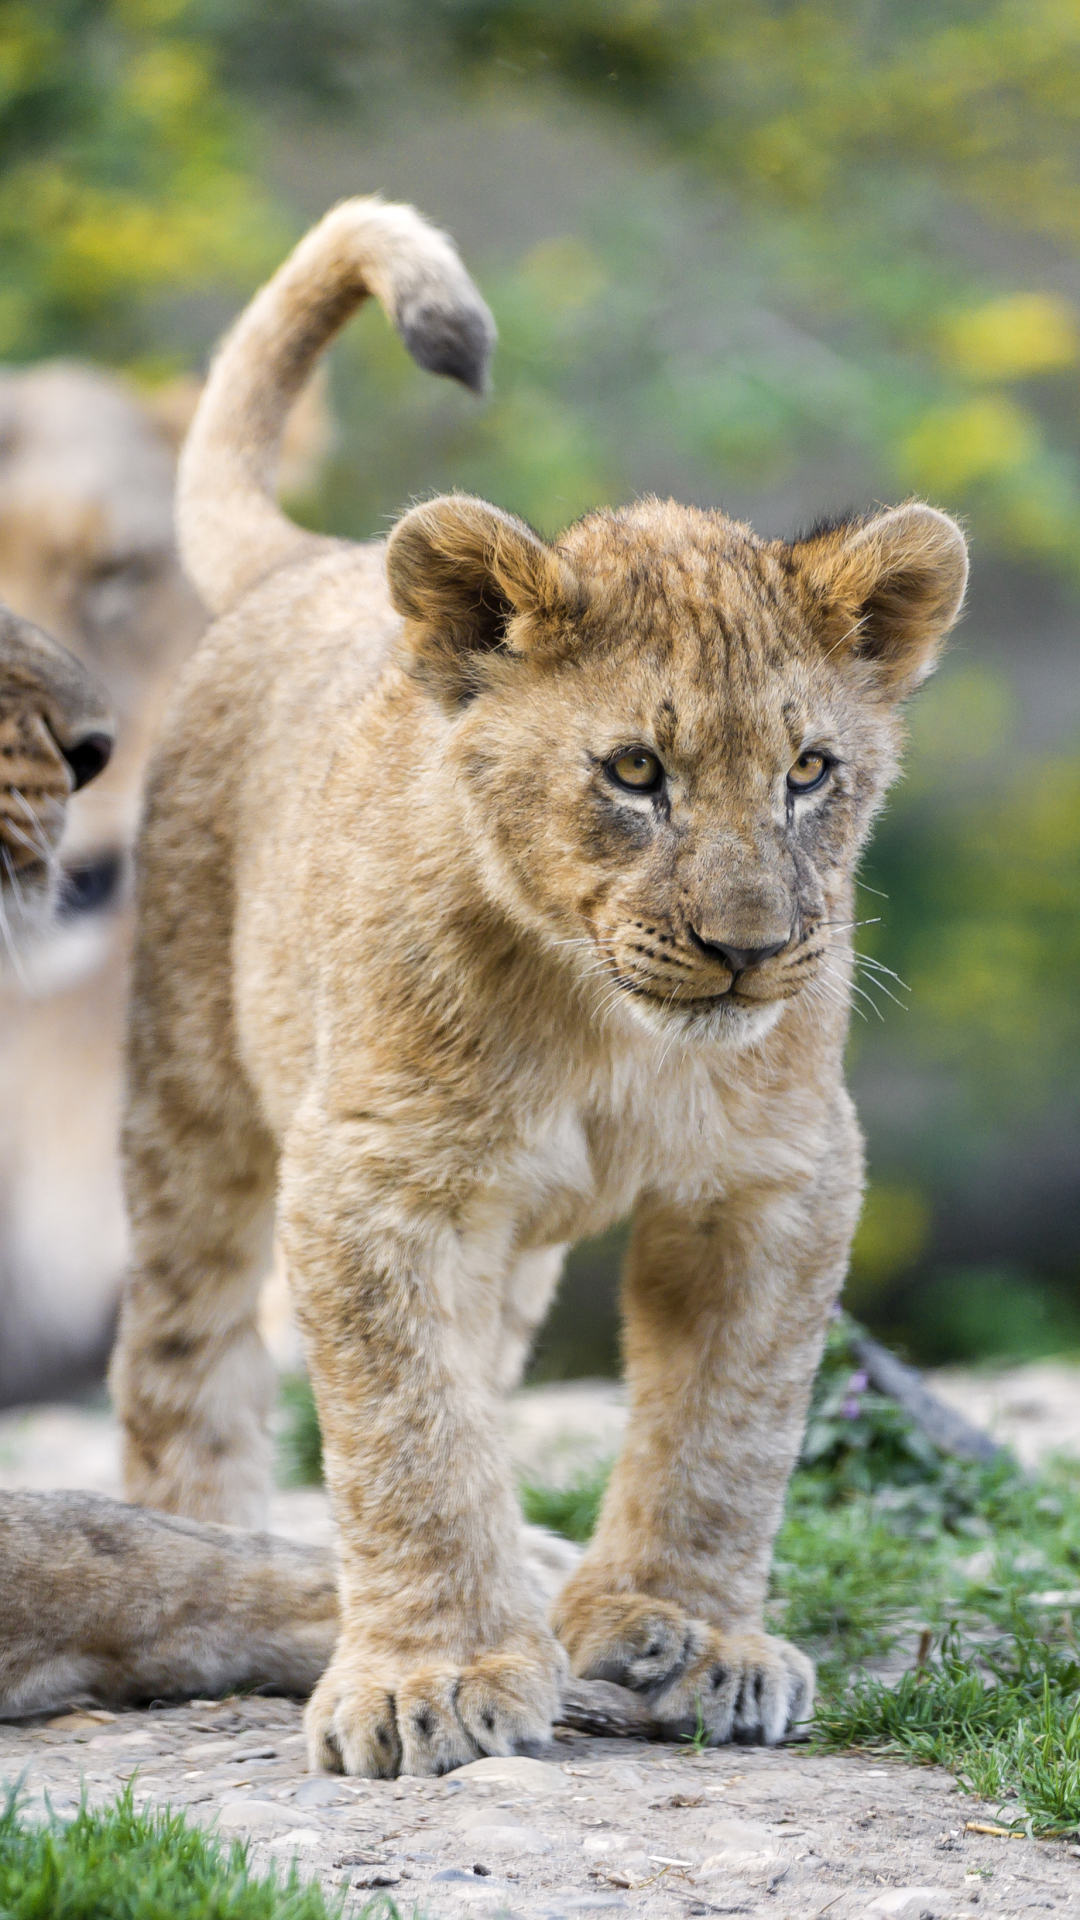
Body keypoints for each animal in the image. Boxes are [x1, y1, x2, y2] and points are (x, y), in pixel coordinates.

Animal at [108, 196, 968, 1778]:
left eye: (810, 770)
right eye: (634, 772)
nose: (750, 947)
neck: (608, 1032)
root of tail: (311, 559)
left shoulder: (778, 1180)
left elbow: (726, 1431)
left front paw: (682, 1633)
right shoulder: (374, 1178)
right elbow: (408, 1436)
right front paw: (432, 1677)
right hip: (193, 1093)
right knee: (184, 1352)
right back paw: (205, 1540)